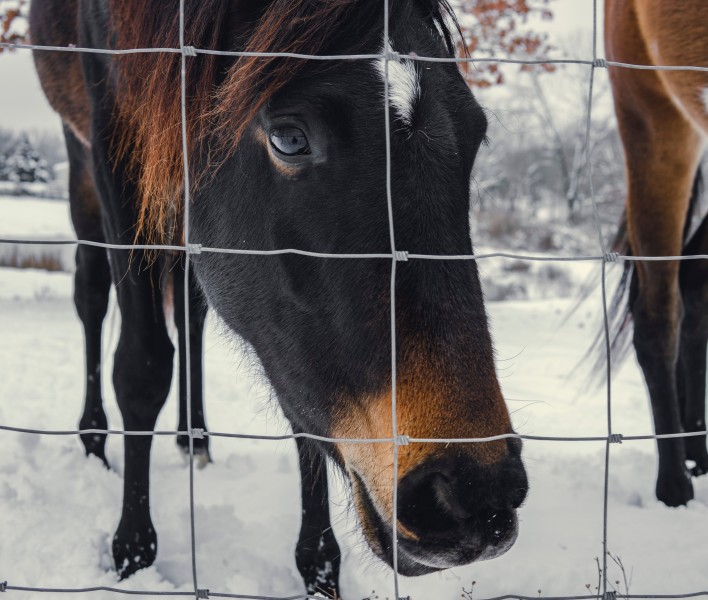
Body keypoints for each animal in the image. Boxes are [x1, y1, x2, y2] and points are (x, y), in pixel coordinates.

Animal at [29, 0, 524, 592]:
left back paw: (195, 439)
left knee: (191, 312)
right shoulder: (115, 143)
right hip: (82, 155)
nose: (475, 493)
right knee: (91, 293)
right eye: (289, 138)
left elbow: (299, 401)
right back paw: (94, 441)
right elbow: (142, 366)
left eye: (475, 135)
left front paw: (320, 567)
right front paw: (133, 553)